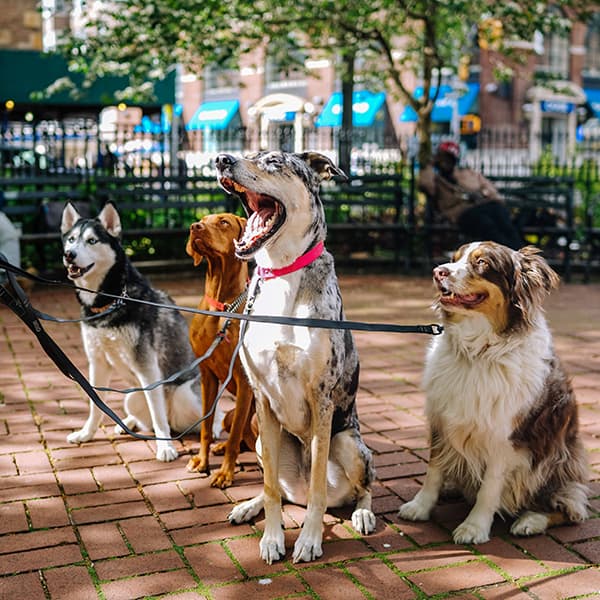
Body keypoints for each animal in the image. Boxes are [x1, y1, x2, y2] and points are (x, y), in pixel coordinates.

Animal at [60, 204, 206, 462]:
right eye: (71, 239)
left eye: (92, 240)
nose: (69, 255)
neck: (111, 301)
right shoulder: (97, 362)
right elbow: (95, 405)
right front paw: (86, 434)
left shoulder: (147, 367)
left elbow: (157, 415)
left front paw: (165, 448)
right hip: (132, 396)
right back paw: (127, 423)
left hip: (183, 395)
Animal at [185, 211, 255, 488]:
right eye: (202, 220)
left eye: (224, 222)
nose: (194, 227)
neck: (222, 307)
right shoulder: (207, 375)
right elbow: (206, 427)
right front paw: (202, 461)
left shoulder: (244, 381)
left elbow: (235, 438)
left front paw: (225, 473)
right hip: (229, 414)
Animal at [216, 152, 376, 564]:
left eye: (273, 161)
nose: (222, 159)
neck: (282, 273)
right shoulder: (261, 398)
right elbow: (271, 488)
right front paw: (273, 538)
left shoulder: (321, 399)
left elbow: (319, 487)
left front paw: (308, 540)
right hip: (260, 440)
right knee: (281, 488)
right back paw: (249, 506)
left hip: (349, 444)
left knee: (362, 487)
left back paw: (363, 513)